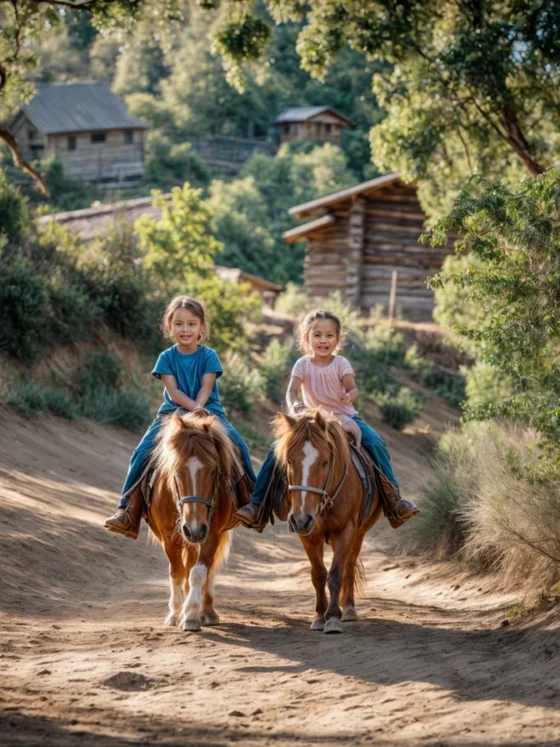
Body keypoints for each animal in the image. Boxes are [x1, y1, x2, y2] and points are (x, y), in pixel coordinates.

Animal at [145, 410, 240, 632]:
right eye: (177, 471)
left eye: (213, 471)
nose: (194, 529)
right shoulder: (169, 536)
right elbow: (177, 572)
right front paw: (175, 613)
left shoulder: (211, 534)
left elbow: (198, 572)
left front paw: (191, 615)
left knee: (208, 570)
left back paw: (207, 611)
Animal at [274, 412, 382, 636]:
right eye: (289, 461)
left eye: (325, 462)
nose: (301, 518)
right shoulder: (308, 535)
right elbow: (318, 574)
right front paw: (319, 616)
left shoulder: (346, 531)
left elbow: (335, 574)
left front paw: (332, 617)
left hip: (358, 535)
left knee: (348, 567)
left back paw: (348, 609)